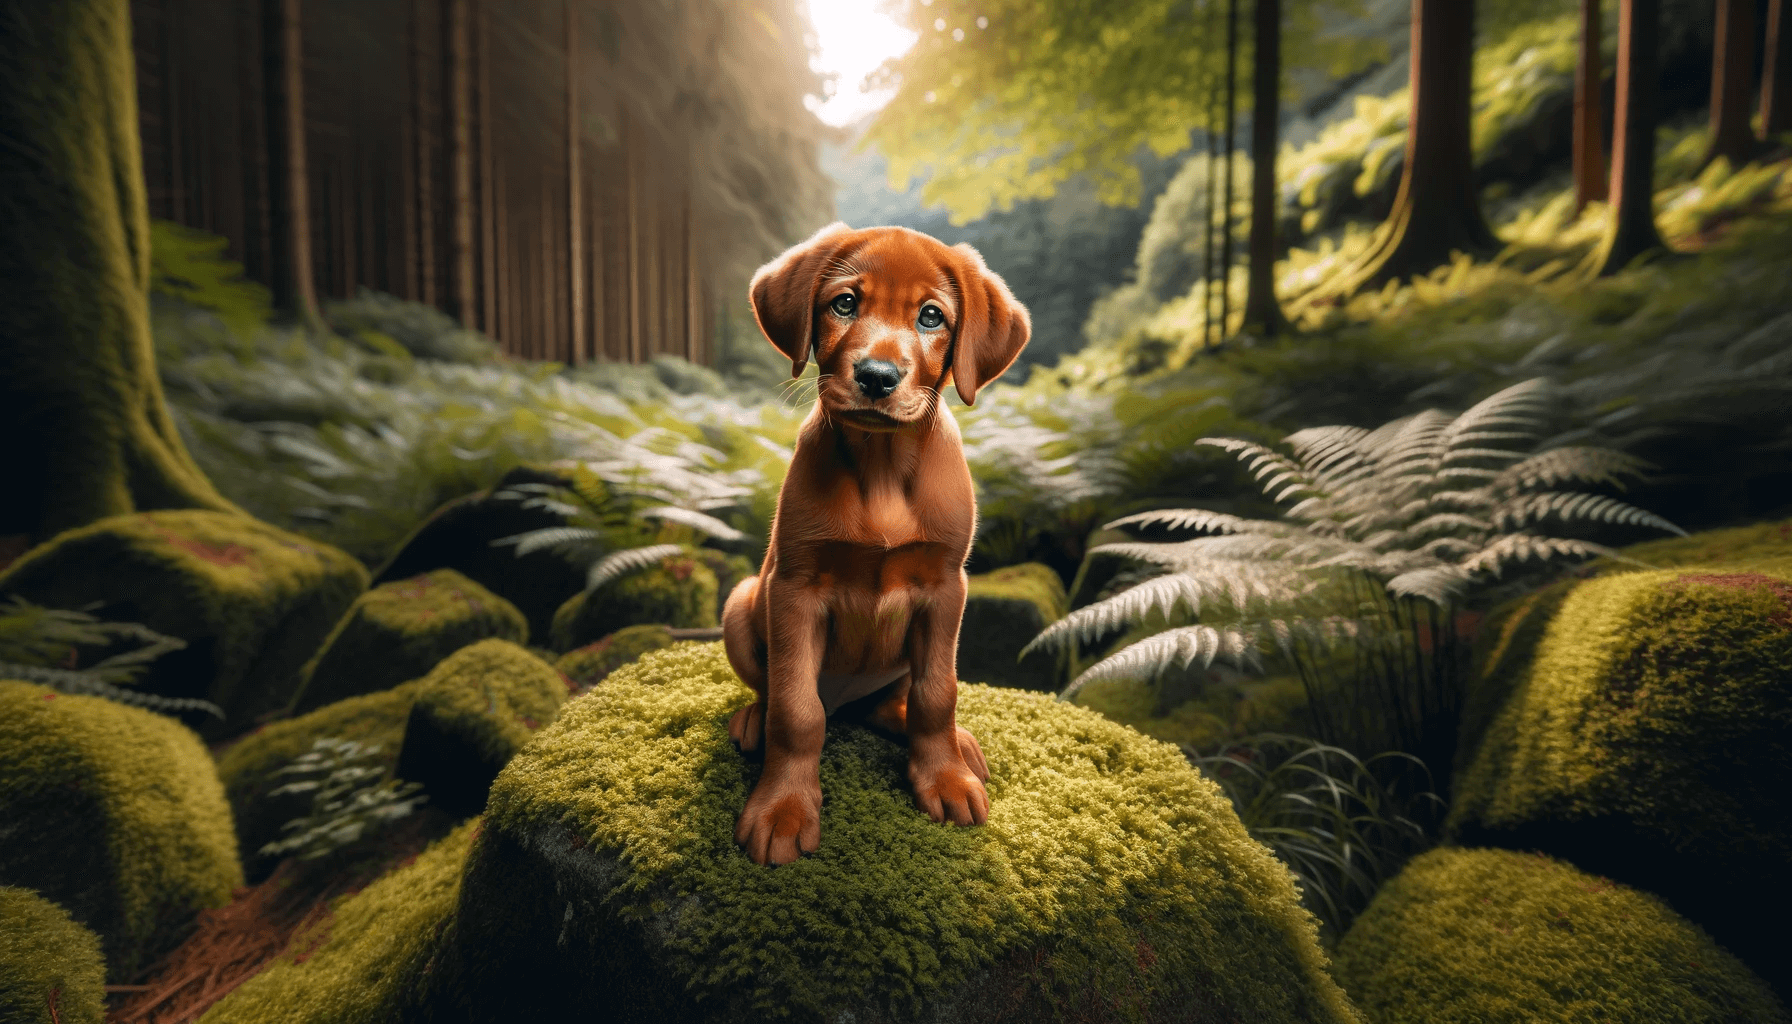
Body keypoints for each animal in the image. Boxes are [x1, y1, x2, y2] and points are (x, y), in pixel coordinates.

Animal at [713, 222, 1025, 864]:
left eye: (931, 316)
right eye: (844, 304)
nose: (877, 376)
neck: (881, 470)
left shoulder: (944, 587)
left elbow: (937, 695)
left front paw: (945, 778)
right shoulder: (795, 589)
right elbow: (797, 712)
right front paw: (783, 807)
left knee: (896, 703)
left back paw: (955, 744)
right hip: (742, 602)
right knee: (783, 696)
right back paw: (753, 721)